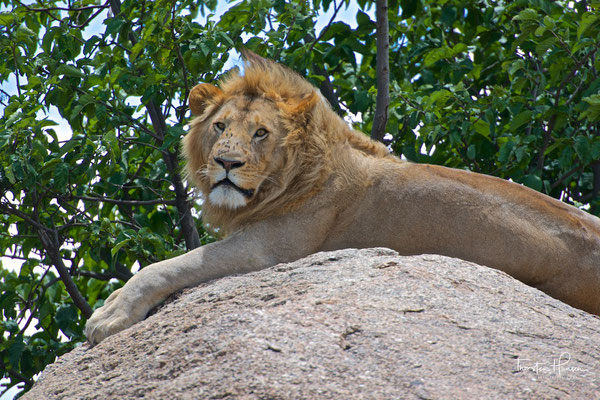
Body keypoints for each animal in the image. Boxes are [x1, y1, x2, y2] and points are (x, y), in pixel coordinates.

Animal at [84, 52, 600, 344]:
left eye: (261, 133)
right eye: (219, 127)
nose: (227, 163)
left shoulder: (267, 249)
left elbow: (167, 266)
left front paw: (109, 316)